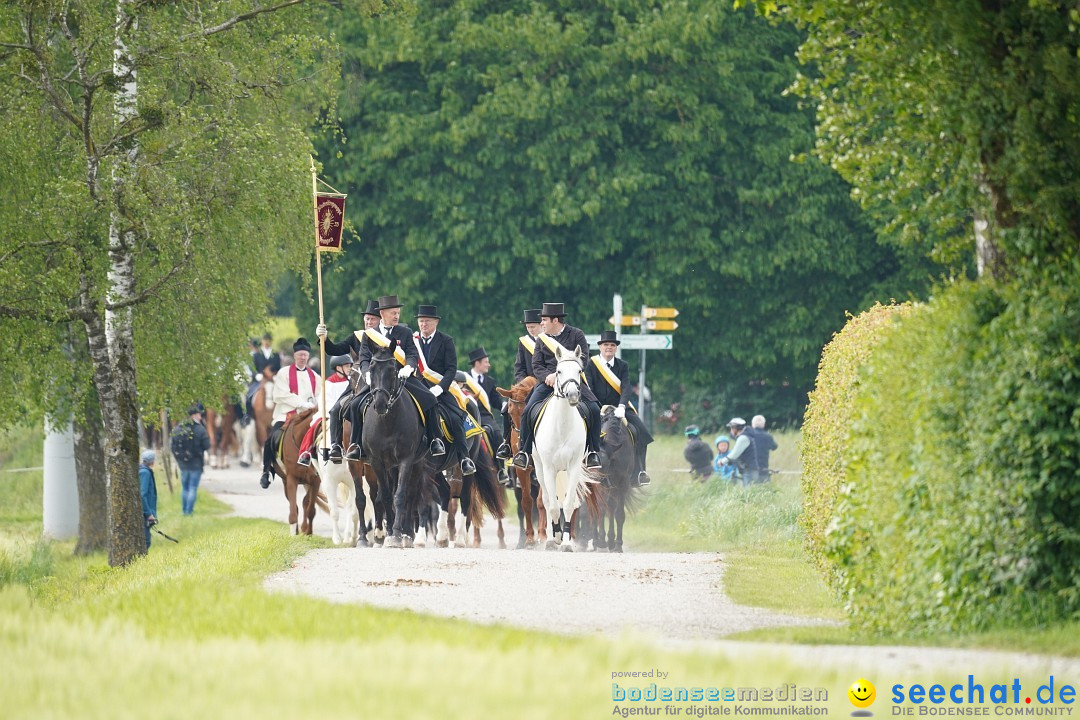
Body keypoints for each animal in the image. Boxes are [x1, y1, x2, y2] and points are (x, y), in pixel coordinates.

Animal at [533, 343, 591, 552]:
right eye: (558, 371)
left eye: (579, 371)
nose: (572, 395)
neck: (562, 426)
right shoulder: (549, 468)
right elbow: (552, 505)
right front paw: (555, 538)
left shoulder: (573, 467)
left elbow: (567, 505)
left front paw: (566, 542)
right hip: (539, 468)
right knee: (547, 500)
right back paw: (552, 537)